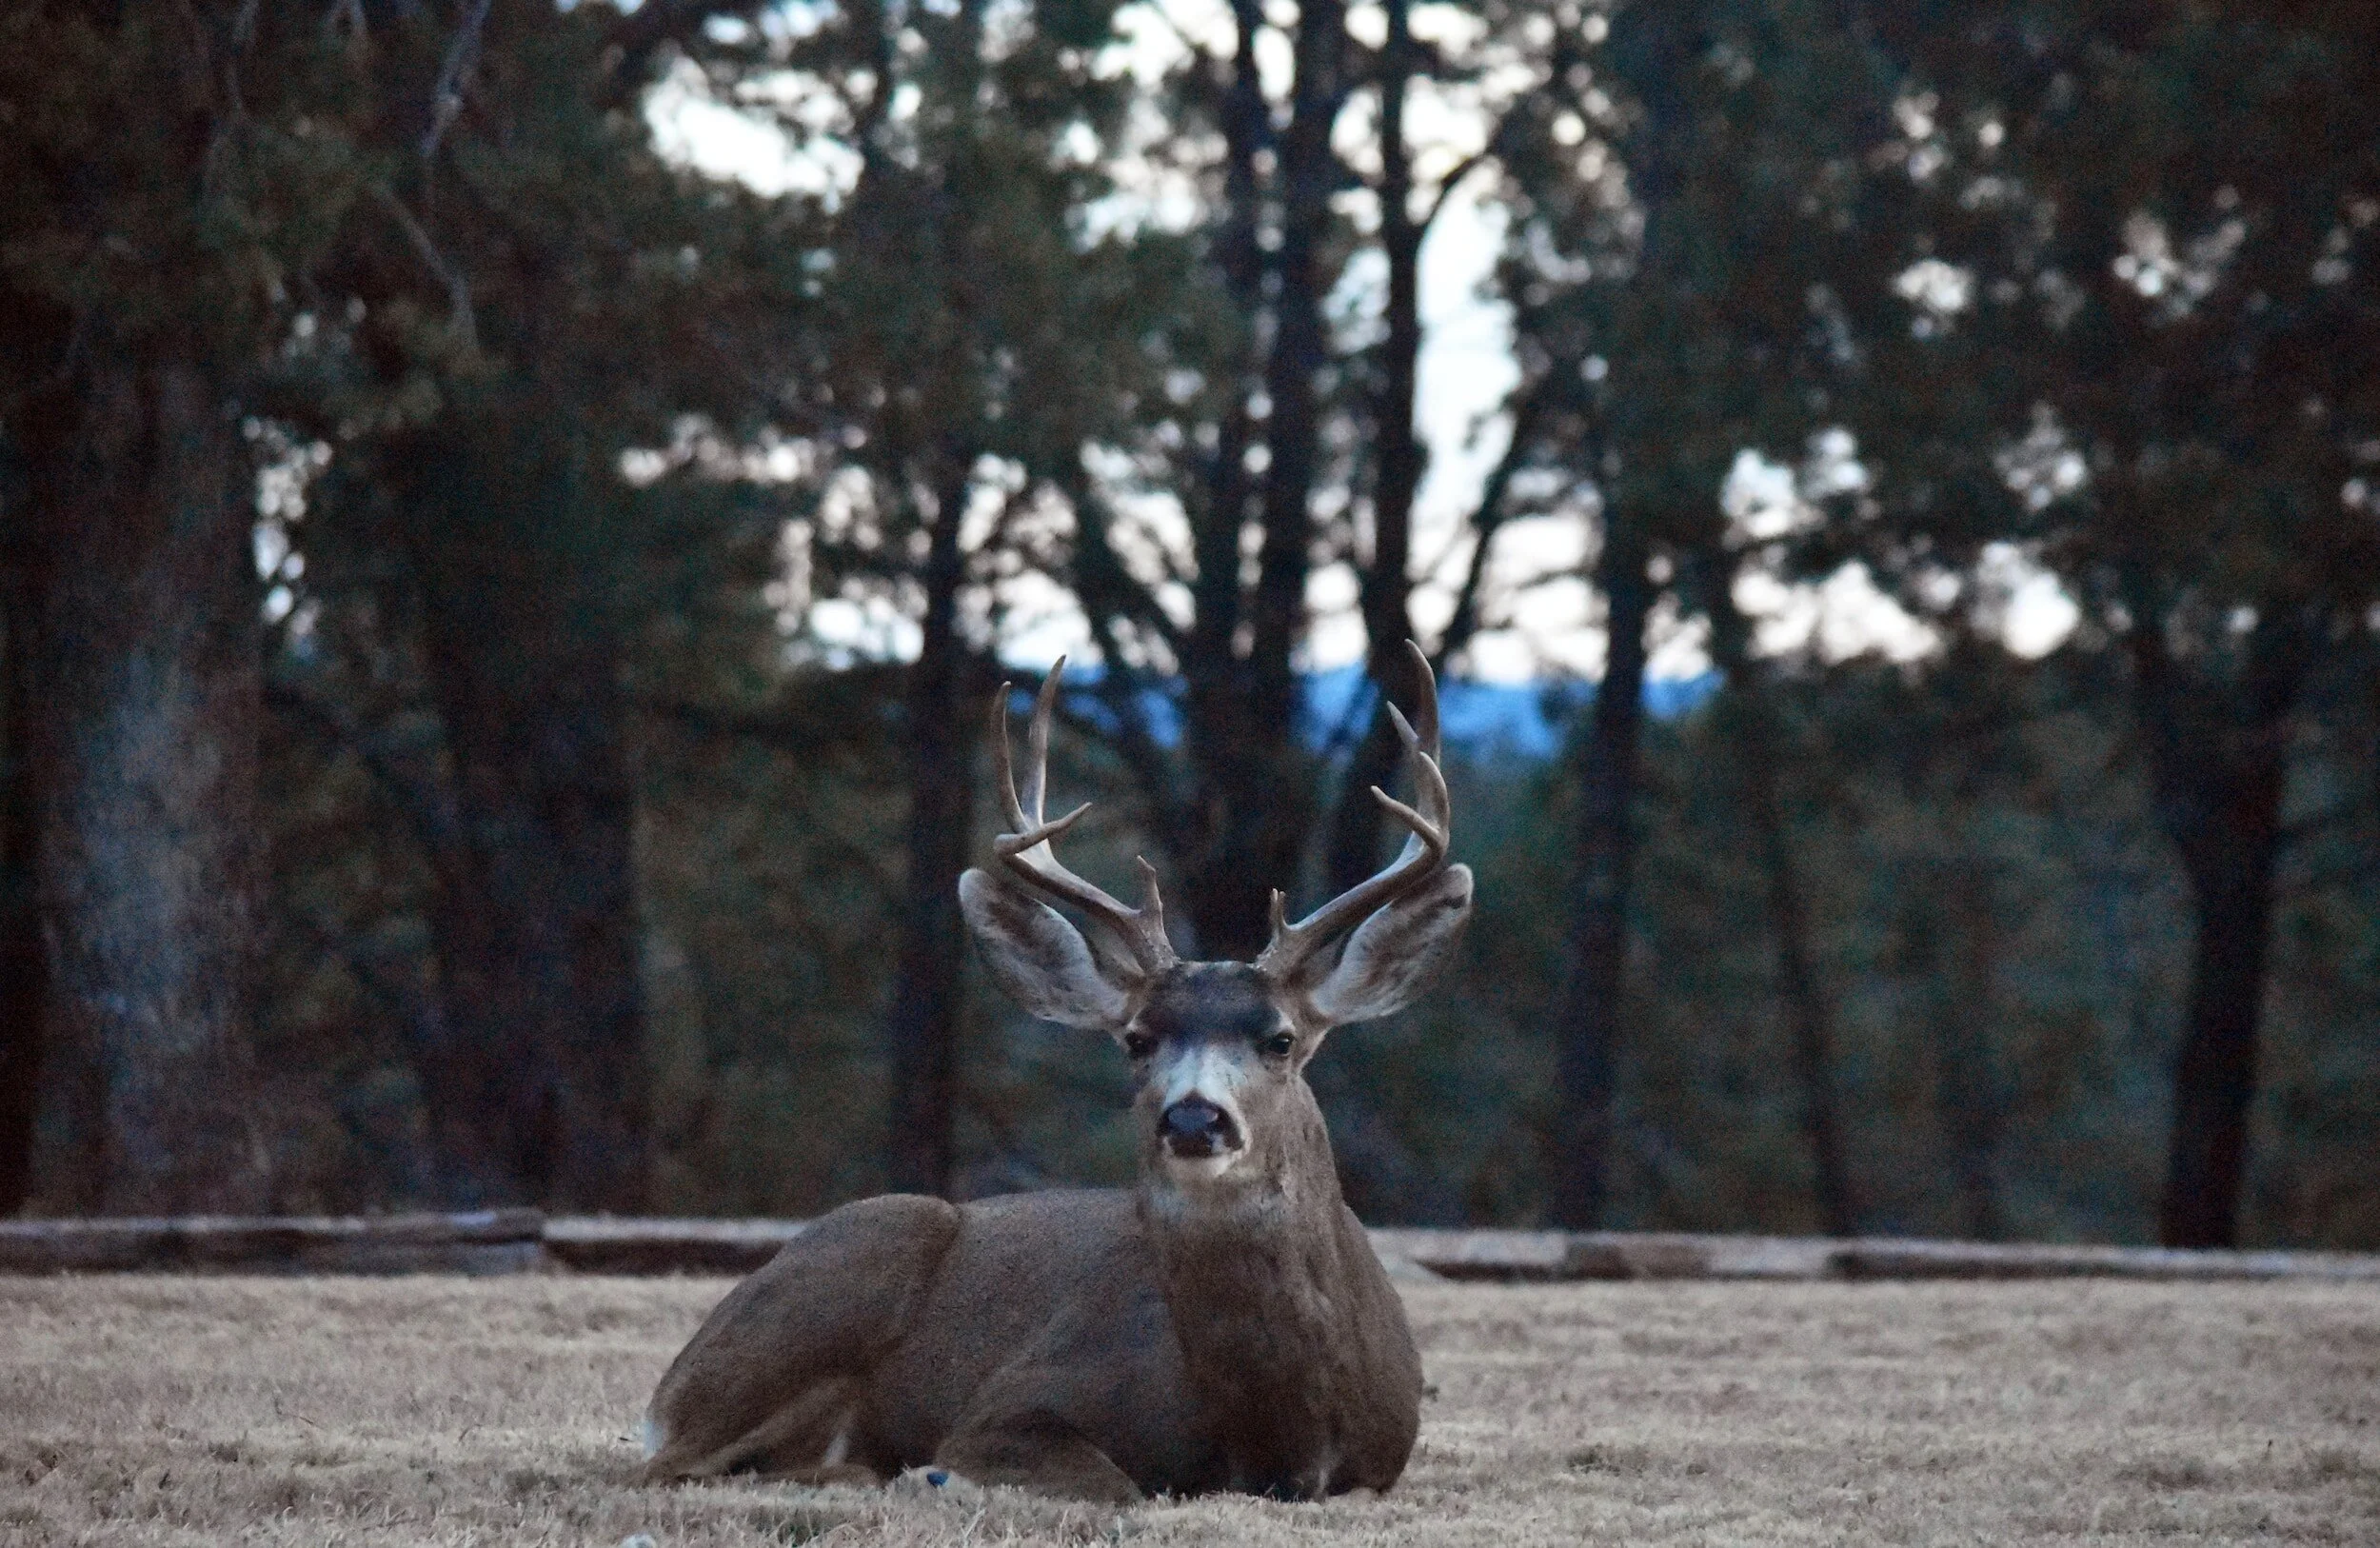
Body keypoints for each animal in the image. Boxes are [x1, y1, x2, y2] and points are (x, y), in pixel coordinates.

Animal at [638, 643, 1473, 1503]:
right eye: (1137, 1039)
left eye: (1280, 1038)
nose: (1194, 1117)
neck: (1276, 1436)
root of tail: (671, 1384)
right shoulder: (1017, 1399)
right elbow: (1118, 1483)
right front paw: (937, 1474)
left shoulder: (1381, 1462)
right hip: (843, 1270)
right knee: (671, 1464)